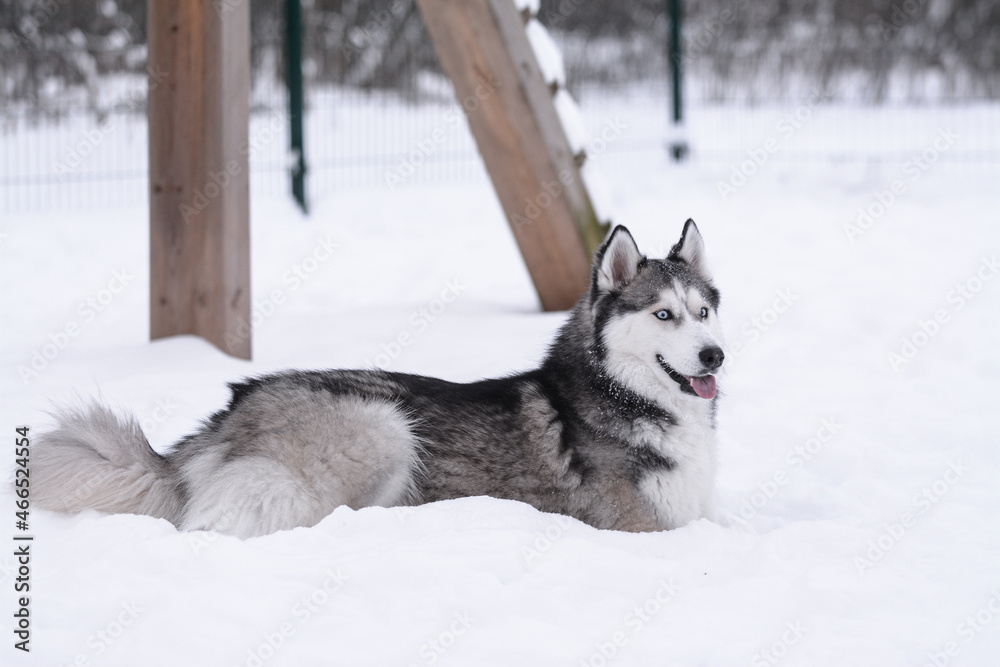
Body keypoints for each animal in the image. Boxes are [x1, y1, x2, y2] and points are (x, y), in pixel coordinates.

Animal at [35, 222, 724, 540]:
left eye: (703, 311)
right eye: (662, 314)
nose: (714, 356)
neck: (625, 398)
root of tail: (233, 409)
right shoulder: (639, 528)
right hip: (383, 426)